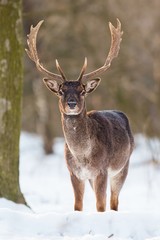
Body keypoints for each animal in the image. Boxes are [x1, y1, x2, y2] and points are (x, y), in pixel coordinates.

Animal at [26, 18, 134, 211]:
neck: (83, 156)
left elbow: (100, 205)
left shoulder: (101, 170)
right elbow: (78, 205)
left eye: (82, 91)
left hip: (123, 166)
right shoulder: (74, 173)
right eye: (61, 91)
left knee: (114, 201)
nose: (72, 104)